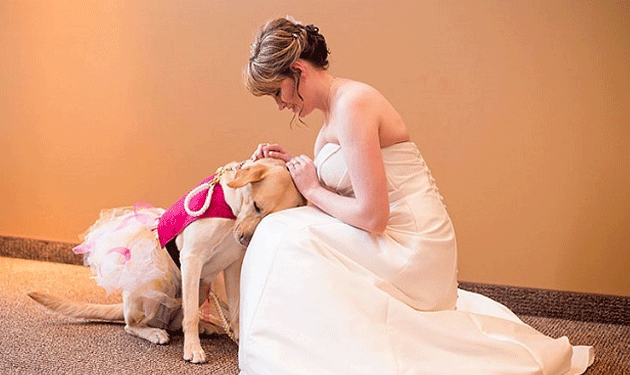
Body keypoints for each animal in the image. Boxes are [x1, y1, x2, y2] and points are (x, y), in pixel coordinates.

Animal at [28, 159, 304, 364]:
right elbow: (190, 315)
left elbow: (235, 312)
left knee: (176, 320)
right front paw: (193, 350)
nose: (244, 240)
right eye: (256, 206)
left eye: (268, 217)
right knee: (133, 325)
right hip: (159, 284)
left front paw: (237, 341)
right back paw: (155, 332)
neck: (229, 209)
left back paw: (208, 328)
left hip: (201, 286)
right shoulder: (192, 258)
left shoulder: (232, 268)